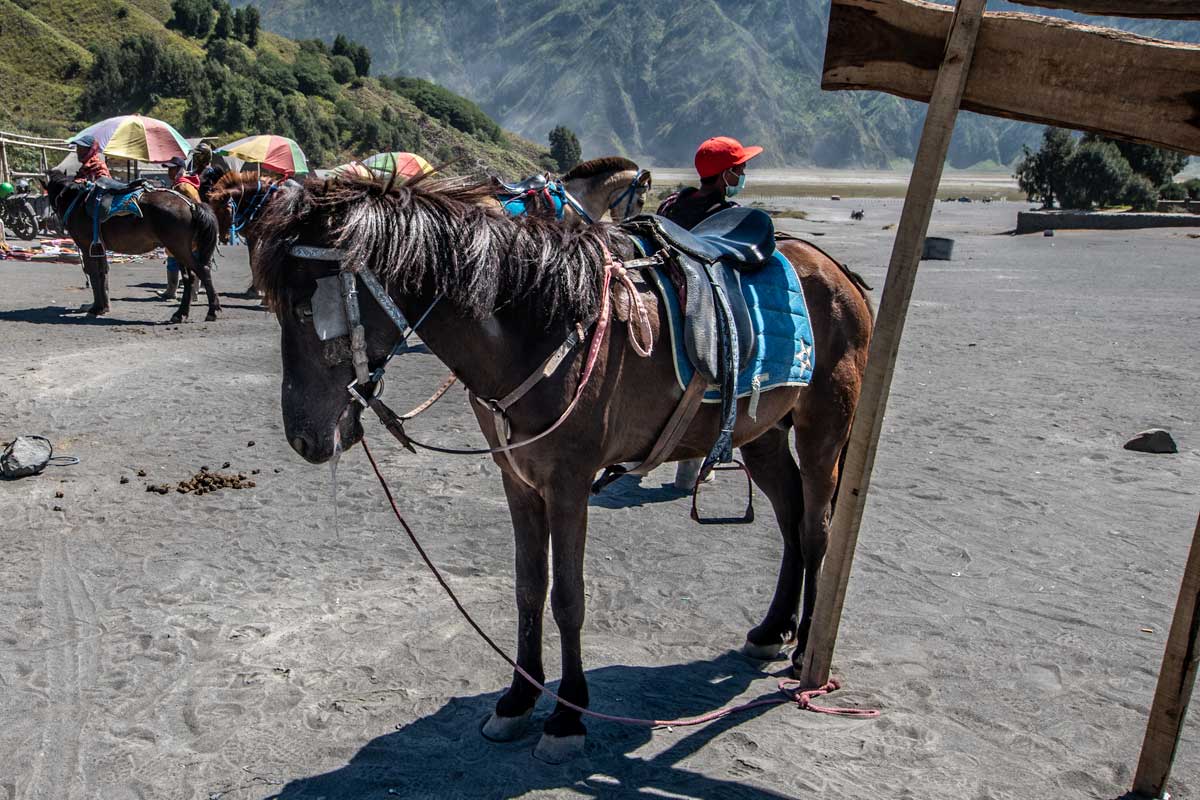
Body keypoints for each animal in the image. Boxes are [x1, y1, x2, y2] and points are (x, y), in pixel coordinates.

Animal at [42, 172, 220, 321]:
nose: (53, 223)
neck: (77, 201)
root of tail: (190, 204)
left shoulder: (87, 248)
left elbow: (94, 275)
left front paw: (95, 308)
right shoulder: (99, 249)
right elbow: (102, 274)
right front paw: (103, 307)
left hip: (179, 249)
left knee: (202, 271)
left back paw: (211, 311)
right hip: (180, 250)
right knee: (190, 277)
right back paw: (181, 313)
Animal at [250, 178, 873, 767]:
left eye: (306, 311)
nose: (302, 437)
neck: (542, 331)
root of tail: (838, 273)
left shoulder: (570, 483)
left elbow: (568, 598)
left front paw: (567, 716)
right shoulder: (519, 480)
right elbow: (529, 587)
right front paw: (518, 700)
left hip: (824, 426)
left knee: (815, 530)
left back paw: (803, 650)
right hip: (762, 433)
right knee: (790, 520)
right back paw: (772, 629)